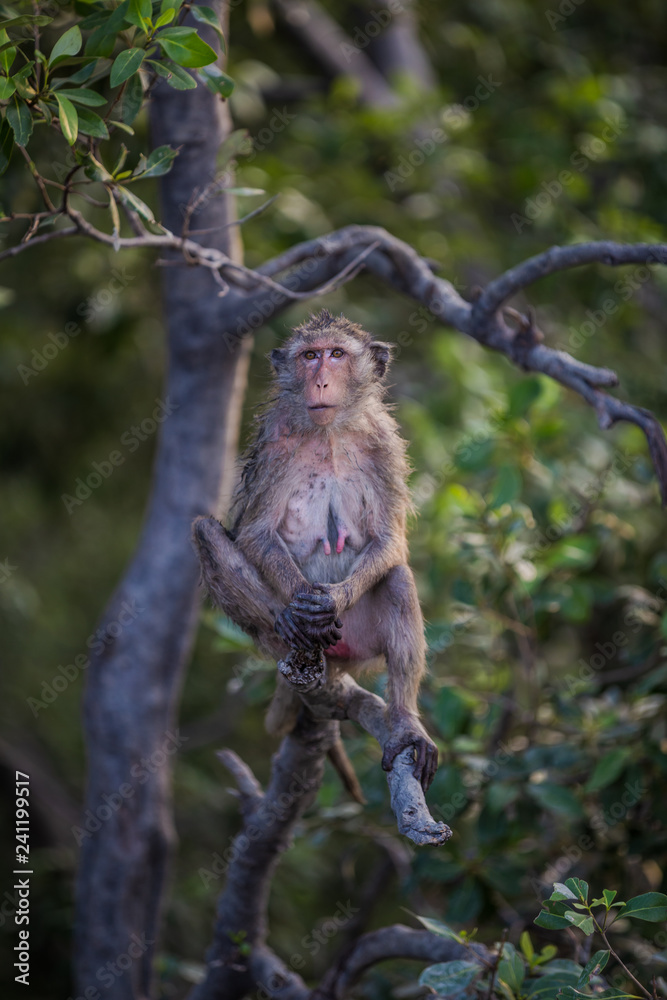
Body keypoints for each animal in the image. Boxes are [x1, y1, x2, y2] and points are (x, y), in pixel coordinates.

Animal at [193, 309, 438, 794]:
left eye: (337, 354)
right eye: (309, 356)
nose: (321, 380)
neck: (329, 433)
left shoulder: (384, 441)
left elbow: (391, 540)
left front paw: (331, 600)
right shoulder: (274, 441)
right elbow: (255, 532)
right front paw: (300, 608)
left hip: (359, 640)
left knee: (398, 578)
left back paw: (405, 722)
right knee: (205, 530)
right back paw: (288, 623)